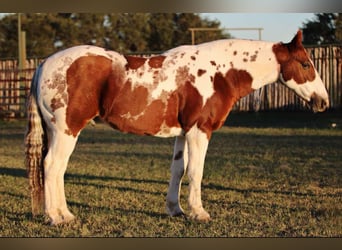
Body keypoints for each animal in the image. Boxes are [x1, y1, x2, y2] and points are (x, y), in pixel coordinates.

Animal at [24, 30, 328, 226]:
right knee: (53, 167)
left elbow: (178, 170)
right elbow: (196, 172)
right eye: (305, 64)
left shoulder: (183, 133)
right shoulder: (199, 131)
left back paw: (61, 214)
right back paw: (58, 217)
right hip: (66, 130)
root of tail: (43, 65)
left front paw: (175, 210)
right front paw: (198, 213)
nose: (322, 101)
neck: (219, 72)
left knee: (53, 168)